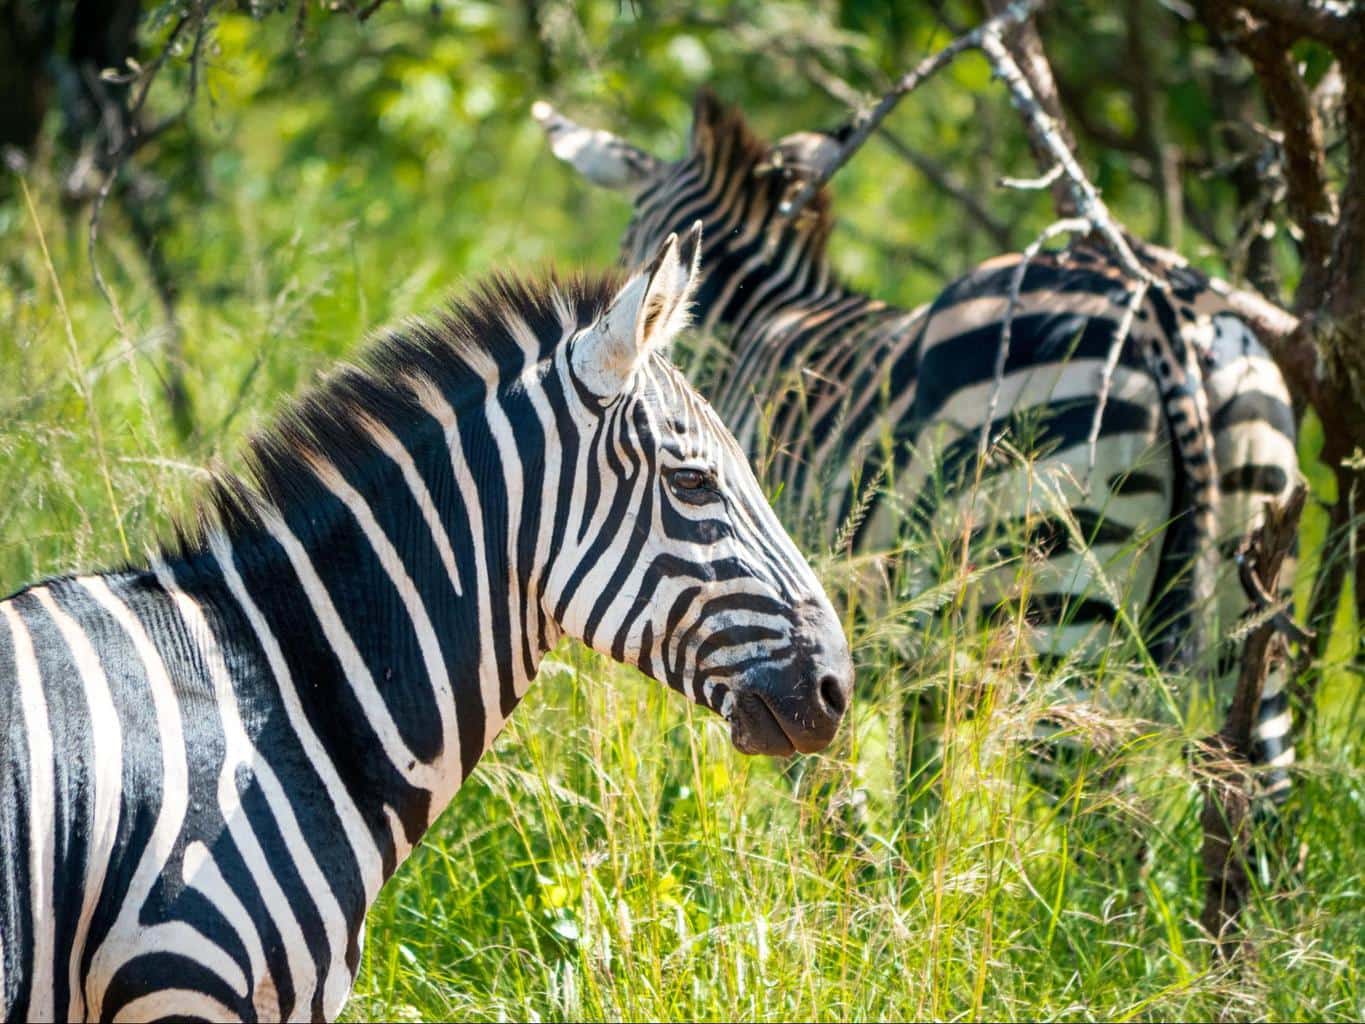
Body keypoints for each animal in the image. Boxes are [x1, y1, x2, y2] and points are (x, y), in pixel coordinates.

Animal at [532, 88, 1299, 808]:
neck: (756, 321)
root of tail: (1153, 298)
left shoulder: (780, 645)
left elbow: (830, 803)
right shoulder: (919, 672)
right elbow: (920, 797)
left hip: (1054, 594)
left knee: (1100, 811)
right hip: (1250, 605)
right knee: (1259, 793)